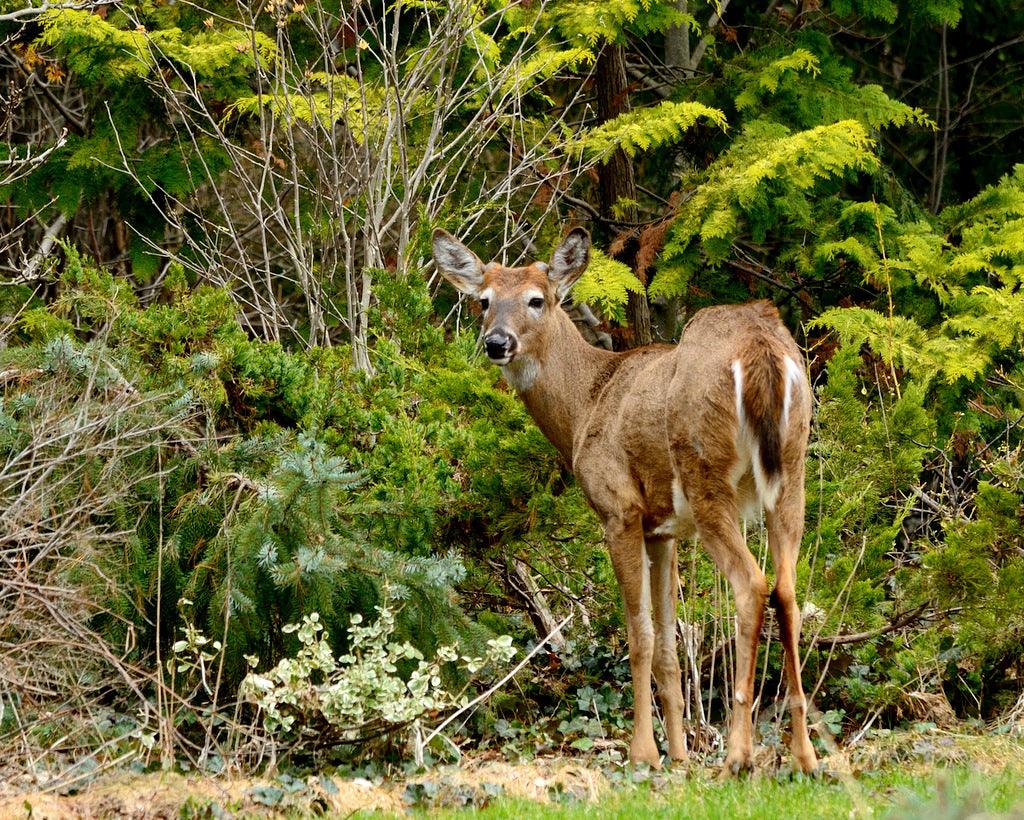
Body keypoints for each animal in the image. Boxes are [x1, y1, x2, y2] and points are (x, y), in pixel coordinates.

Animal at [431, 226, 818, 776]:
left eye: (536, 300)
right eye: (483, 301)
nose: (497, 343)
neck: (584, 406)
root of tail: (761, 350)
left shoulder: (619, 509)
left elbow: (640, 637)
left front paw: (644, 753)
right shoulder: (663, 529)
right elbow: (669, 645)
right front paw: (678, 754)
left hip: (706, 474)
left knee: (752, 585)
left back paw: (738, 755)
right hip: (792, 471)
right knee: (787, 589)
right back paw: (805, 755)